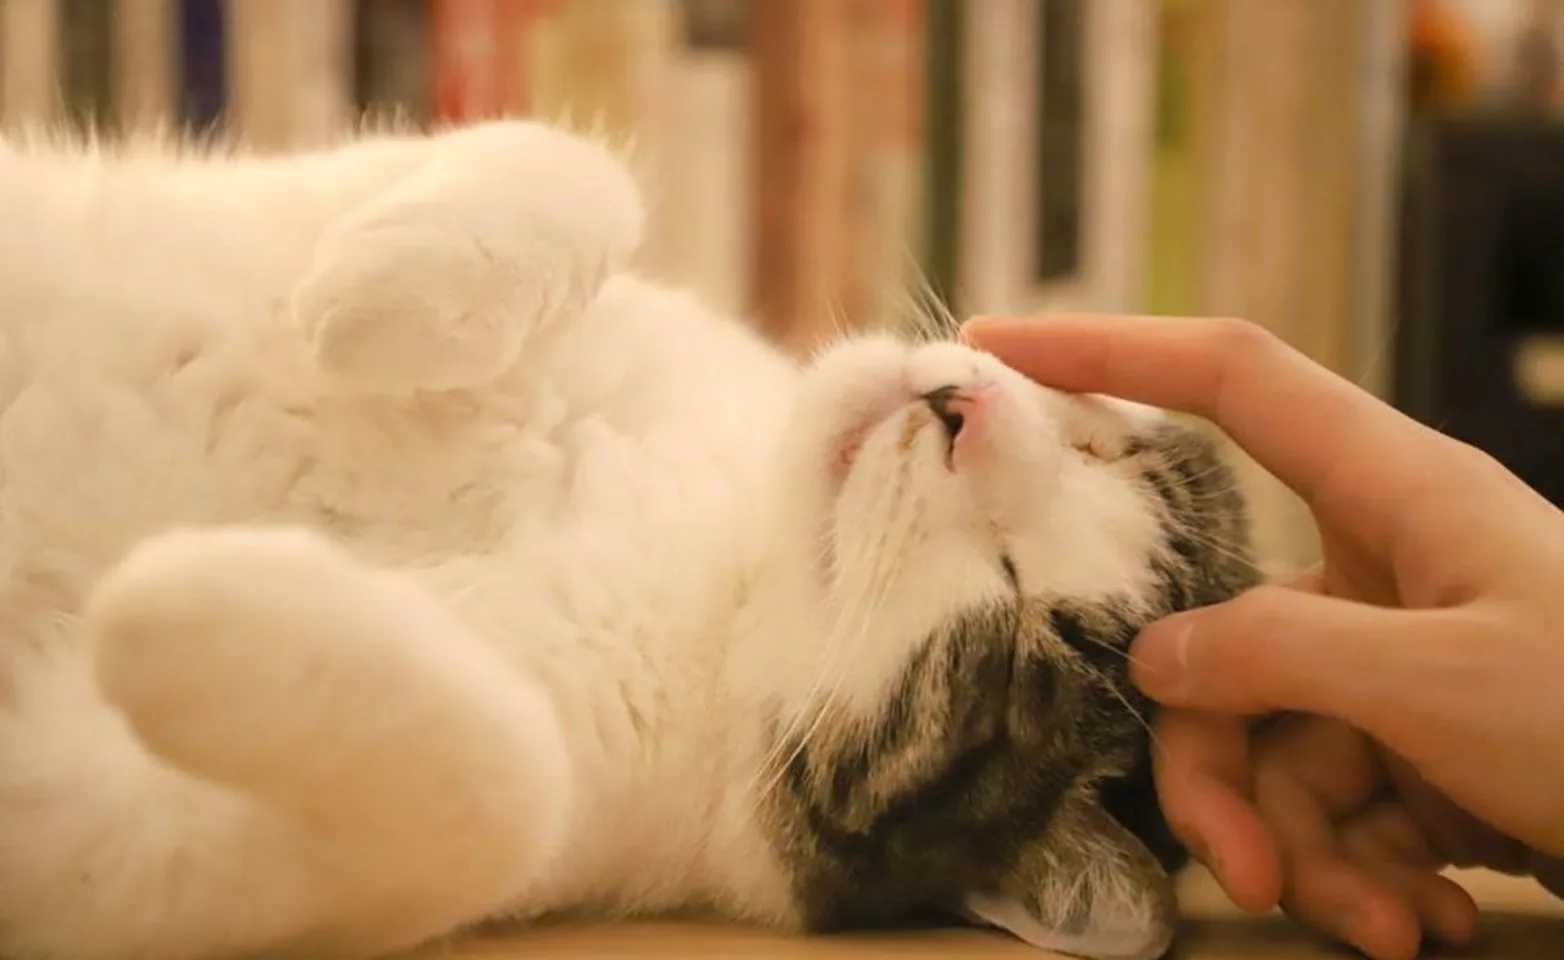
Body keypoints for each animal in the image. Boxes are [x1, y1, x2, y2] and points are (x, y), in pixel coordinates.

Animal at [0, 120, 1257, 960]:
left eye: (1027, 625)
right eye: (1103, 449)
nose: (962, 412)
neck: (716, 540)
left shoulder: (125, 851)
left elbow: (504, 787)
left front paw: (184, 593)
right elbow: (566, 162)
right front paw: (374, 297)